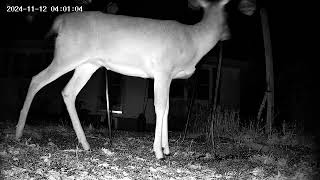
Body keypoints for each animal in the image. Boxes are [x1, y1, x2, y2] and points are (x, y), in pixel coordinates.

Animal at [15, 0, 230, 160]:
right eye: (227, 11)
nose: (228, 34)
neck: (193, 40)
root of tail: (61, 20)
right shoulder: (162, 69)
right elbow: (160, 108)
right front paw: (159, 152)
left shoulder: (168, 76)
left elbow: (167, 109)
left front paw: (166, 149)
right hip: (67, 55)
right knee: (36, 79)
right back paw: (18, 133)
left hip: (87, 64)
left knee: (68, 91)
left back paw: (85, 144)